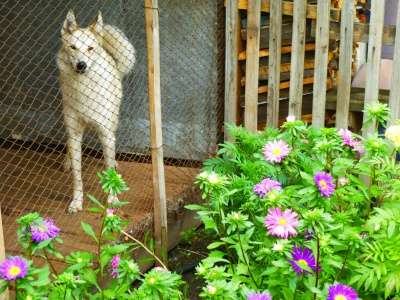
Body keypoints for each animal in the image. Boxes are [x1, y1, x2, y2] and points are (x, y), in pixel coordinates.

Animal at [57, 8, 136, 211]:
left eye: (90, 49)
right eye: (73, 47)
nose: (81, 65)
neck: (84, 89)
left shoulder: (105, 134)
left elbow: (108, 170)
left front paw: (112, 199)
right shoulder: (75, 132)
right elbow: (77, 176)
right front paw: (77, 202)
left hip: (113, 121)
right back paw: (67, 162)